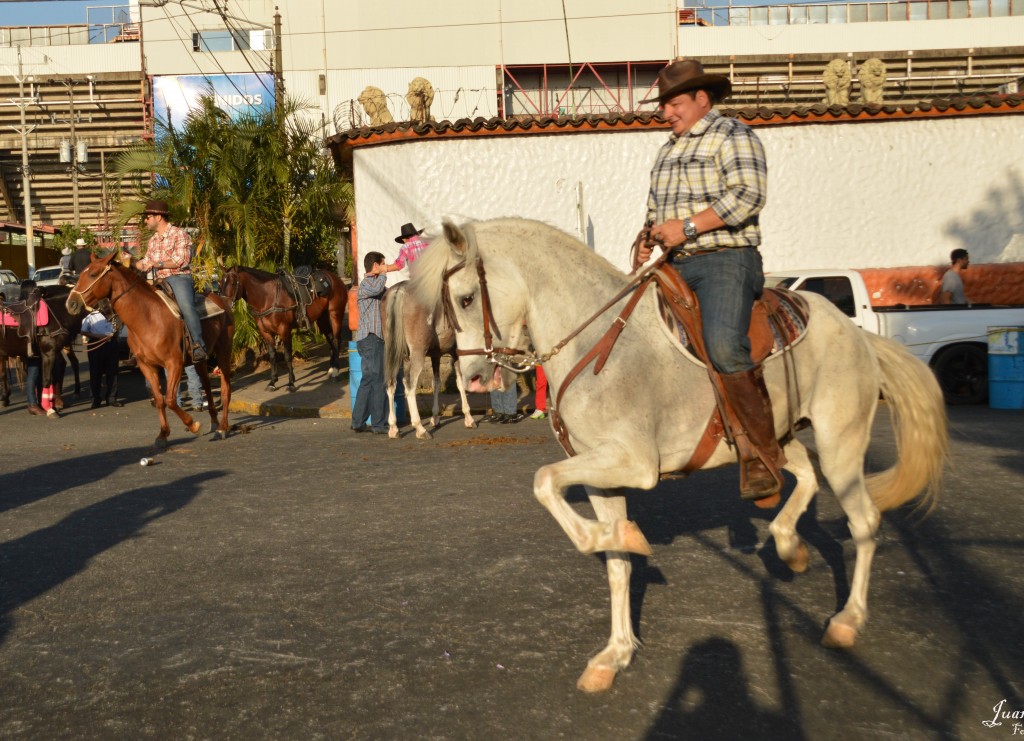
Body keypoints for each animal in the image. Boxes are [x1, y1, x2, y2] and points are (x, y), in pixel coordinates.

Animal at [67, 250, 234, 446]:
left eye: (93, 274)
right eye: (80, 274)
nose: (71, 303)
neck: (147, 318)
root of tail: (222, 299)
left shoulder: (174, 363)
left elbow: (170, 400)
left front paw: (193, 425)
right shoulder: (147, 366)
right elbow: (160, 400)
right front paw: (162, 435)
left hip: (224, 350)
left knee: (225, 388)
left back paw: (223, 427)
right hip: (199, 359)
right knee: (207, 386)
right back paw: (214, 423)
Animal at [217, 266, 348, 393]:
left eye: (233, 283)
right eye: (220, 283)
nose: (224, 305)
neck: (267, 297)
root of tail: (335, 278)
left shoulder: (284, 330)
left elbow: (287, 356)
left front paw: (291, 384)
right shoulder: (266, 333)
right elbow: (272, 356)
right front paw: (273, 382)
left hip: (335, 314)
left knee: (336, 340)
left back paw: (336, 371)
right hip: (322, 318)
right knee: (331, 340)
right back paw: (331, 368)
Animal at [411, 216, 946, 691]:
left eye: (465, 298)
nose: (473, 378)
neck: (596, 342)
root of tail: (858, 332)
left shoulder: (634, 463)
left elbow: (544, 481)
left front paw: (623, 537)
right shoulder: (599, 476)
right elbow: (615, 564)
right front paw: (615, 651)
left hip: (841, 442)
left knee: (863, 521)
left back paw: (846, 620)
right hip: (780, 438)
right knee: (805, 479)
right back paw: (790, 548)